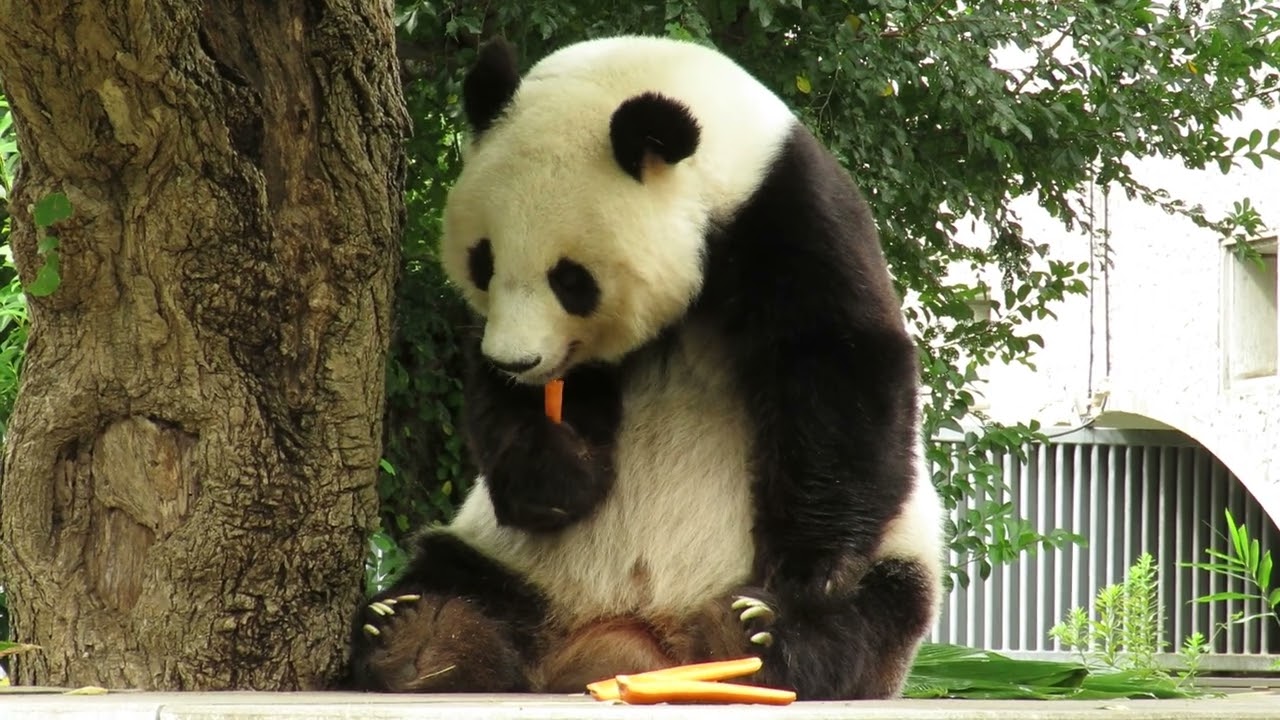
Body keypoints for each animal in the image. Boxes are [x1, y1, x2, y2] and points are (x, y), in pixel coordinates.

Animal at [348, 34, 944, 700]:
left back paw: (758, 633)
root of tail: (625, 641)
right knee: (458, 580)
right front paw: (550, 469)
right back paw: (413, 636)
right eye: (483, 262)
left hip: (900, 559)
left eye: (571, 280)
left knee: (866, 620)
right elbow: (515, 410)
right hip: (508, 558)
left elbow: (837, 362)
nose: (517, 360)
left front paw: (809, 568)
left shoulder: (792, 216)